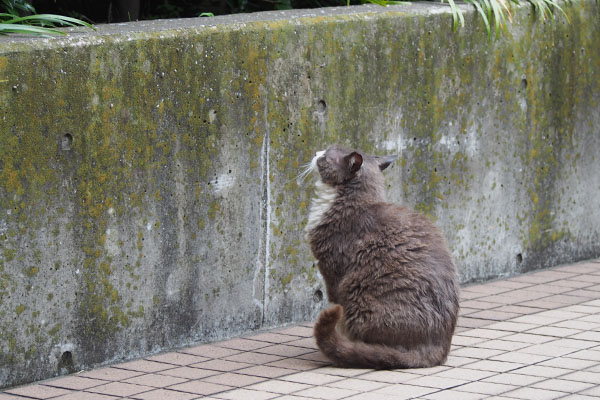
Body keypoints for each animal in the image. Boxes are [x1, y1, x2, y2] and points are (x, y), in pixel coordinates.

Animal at [302, 147, 462, 368]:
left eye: (326, 155)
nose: (316, 152)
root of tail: (440, 347)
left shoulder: (332, 269)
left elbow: (334, 299)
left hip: (356, 294)